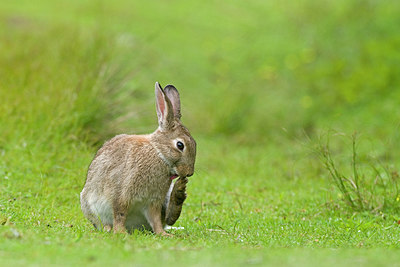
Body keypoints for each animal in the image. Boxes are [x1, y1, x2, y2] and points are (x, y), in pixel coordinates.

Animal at [79, 82, 195, 236]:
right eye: (180, 145)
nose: (189, 173)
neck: (158, 153)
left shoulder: (154, 201)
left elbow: (156, 220)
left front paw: (163, 234)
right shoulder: (122, 193)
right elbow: (120, 213)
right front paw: (121, 233)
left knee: (167, 218)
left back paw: (179, 192)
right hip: (88, 203)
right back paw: (109, 229)